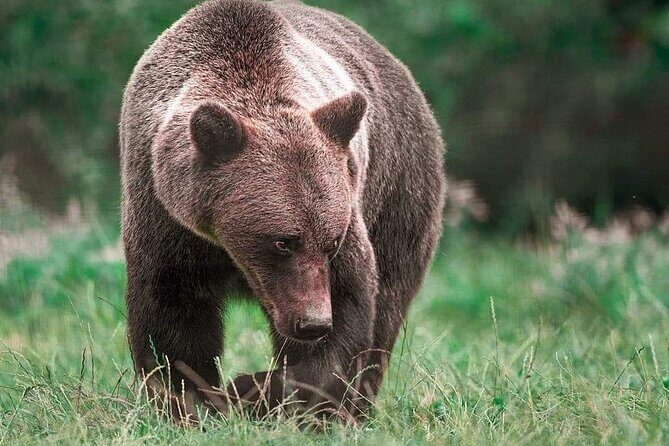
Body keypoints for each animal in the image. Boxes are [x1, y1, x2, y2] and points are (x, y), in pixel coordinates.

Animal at [119, 0, 445, 422]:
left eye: (331, 241)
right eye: (282, 241)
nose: (313, 323)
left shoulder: (345, 214)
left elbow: (348, 310)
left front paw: (256, 389)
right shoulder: (166, 215)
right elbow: (172, 309)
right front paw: (190, 402)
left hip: (400, 188)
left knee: (388, 303)